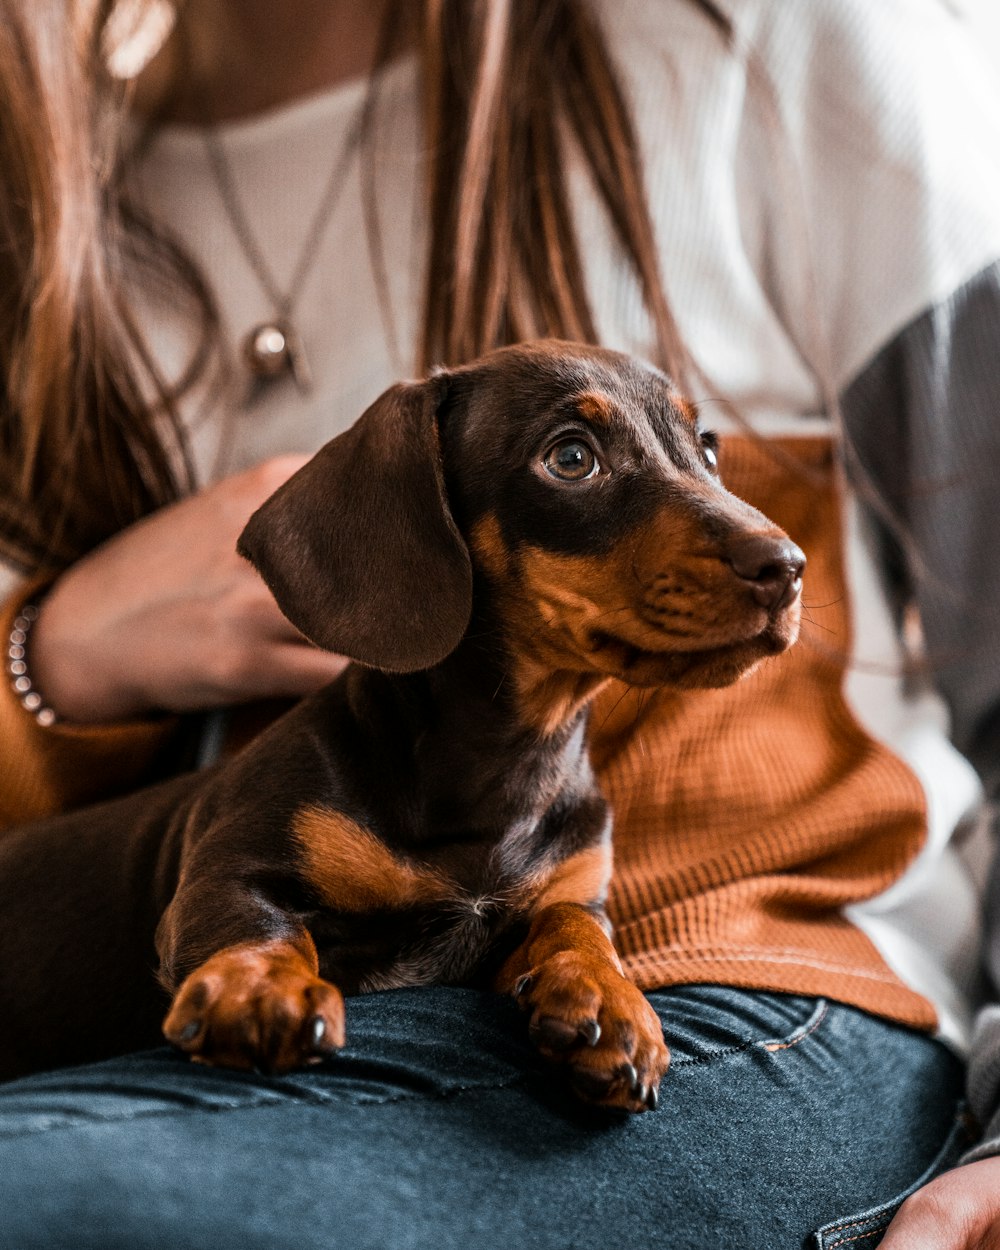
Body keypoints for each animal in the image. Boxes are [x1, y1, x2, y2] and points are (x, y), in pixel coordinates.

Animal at [0, 342, 800, 1115]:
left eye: (708, 451)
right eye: (572, 458)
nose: (786, 567)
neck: (500, 766)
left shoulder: (563, 895)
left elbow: (577, 926)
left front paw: (611, 1000)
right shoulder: (228, 869)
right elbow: (256, 924)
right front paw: (259, 988)